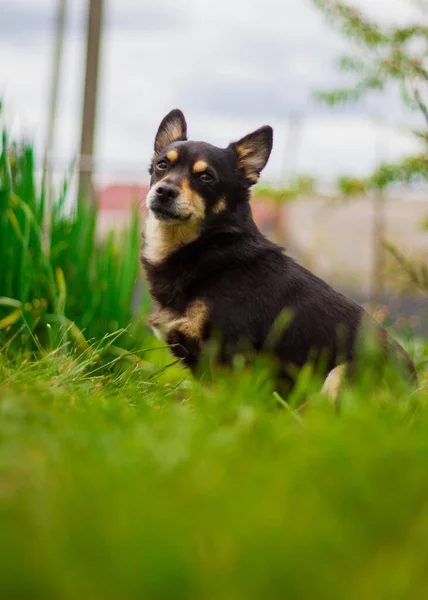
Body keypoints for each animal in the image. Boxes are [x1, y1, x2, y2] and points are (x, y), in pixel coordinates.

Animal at [141, 109, 418, 396]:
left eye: (206, 177)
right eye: (162, 165)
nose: (164, 191)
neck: (206, 245)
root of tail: (415, 386)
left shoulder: (232, 353)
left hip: (341, 374)